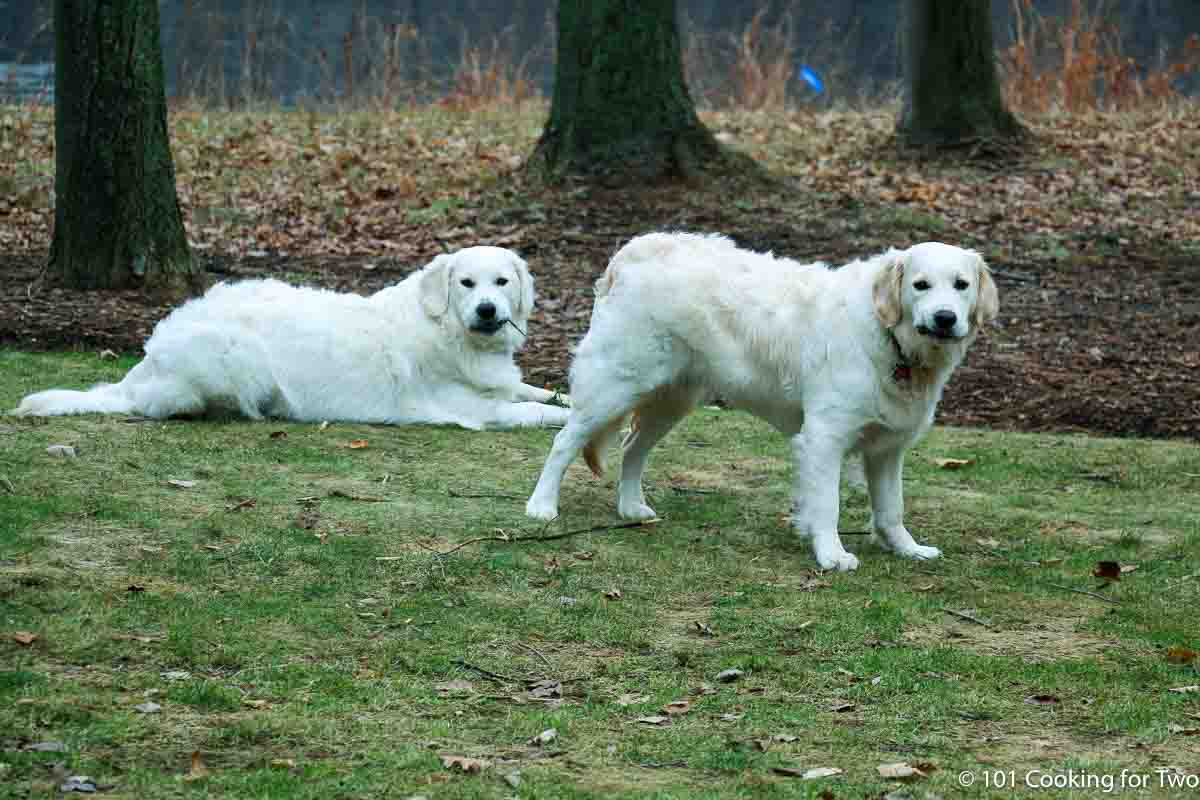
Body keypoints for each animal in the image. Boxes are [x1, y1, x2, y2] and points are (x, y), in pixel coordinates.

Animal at [10, 244, 571, 431]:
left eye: (502, 282)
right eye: (466, 283)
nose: (487, 310)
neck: (449, 331)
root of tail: (141, 369)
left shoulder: (502, 384)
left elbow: (539, 391)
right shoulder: (473, 408)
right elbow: (535, 411)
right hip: (237, 355)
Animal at [525, 231, 993, 568]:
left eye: (961, 285)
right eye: (920, 285)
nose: (945, 318)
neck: (890, 338)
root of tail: (630, 251)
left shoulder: (887, 449)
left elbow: (892, 508)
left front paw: (907, 549)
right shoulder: (824, 437)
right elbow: (828, 503)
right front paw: (832, 554)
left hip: (670, 399)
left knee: (631, 447)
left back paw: (630, 508)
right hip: (615, 384)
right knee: (564, 441)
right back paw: (542, 506)